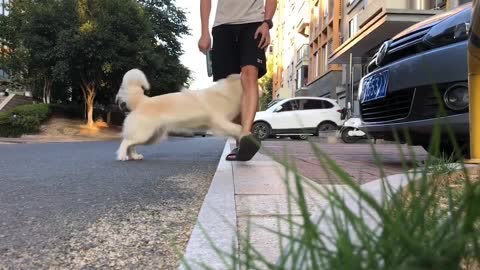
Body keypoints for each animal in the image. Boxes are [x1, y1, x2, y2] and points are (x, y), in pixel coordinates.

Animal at [114, 69, 244, 160]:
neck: (229, 91)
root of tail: (143, 100)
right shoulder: (220, 121)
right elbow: (238, 128)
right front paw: (244, 133)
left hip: (151, 137)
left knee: (131, 145)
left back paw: (134, 156)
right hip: (144, 134)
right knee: (126, 142)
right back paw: (122, 156)